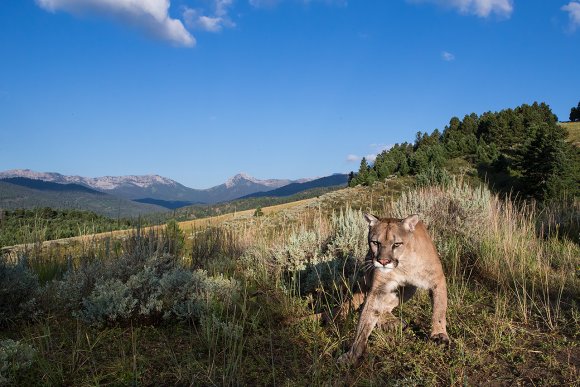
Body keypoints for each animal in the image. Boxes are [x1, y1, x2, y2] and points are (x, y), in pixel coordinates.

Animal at [338, 214, 450, 366]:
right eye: (376, 242)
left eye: (396, 244)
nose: (383, 261)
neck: (403, 265)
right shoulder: (378, 289)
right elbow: (366, 319)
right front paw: (352, 353)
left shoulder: (437, 280)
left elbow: (439, 310)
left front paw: (439, 335)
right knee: (381, 309)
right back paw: (392, 323)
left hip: (408, 289)